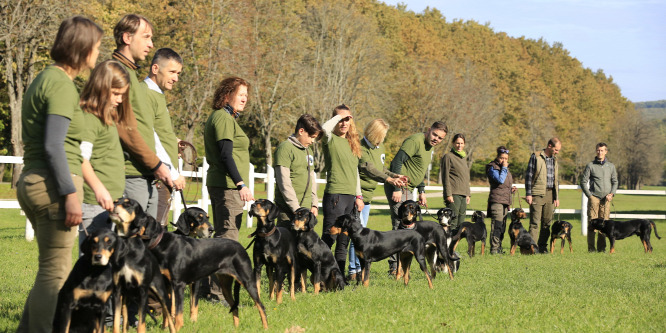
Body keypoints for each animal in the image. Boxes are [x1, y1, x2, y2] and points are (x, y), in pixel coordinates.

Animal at [109, 197, 268, 330]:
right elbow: (168, 311)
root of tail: (240, 246)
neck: (161, 245)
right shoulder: (166, 285)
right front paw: (165, 328)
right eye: (198, 218)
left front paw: (178, 328)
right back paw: (235, 328)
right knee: (234, 306)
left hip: (247, 280)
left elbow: (179, 312)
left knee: (261, 305)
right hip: (225, 285)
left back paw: (265, 327)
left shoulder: (179, 284)